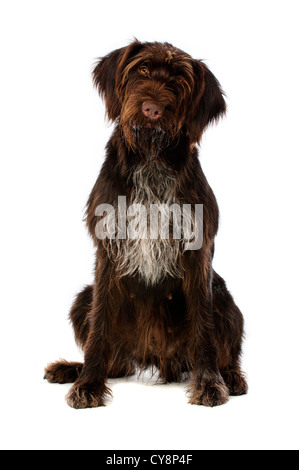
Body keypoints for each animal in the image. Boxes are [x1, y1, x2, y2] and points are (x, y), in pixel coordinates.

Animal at [44, 40, 250, 408]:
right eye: (141, 69)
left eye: (180, 81)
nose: (152, 109)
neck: (151, 158)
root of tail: (158, 358)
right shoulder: (108, 250)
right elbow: (99, 328)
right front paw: (89, 383)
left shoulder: (197, 252)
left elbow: (204, 328)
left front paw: (209, 382)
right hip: (84, 298)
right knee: (116, 360)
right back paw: (74, 368)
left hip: (225, 299)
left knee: (224, 347)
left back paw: (229, 376)